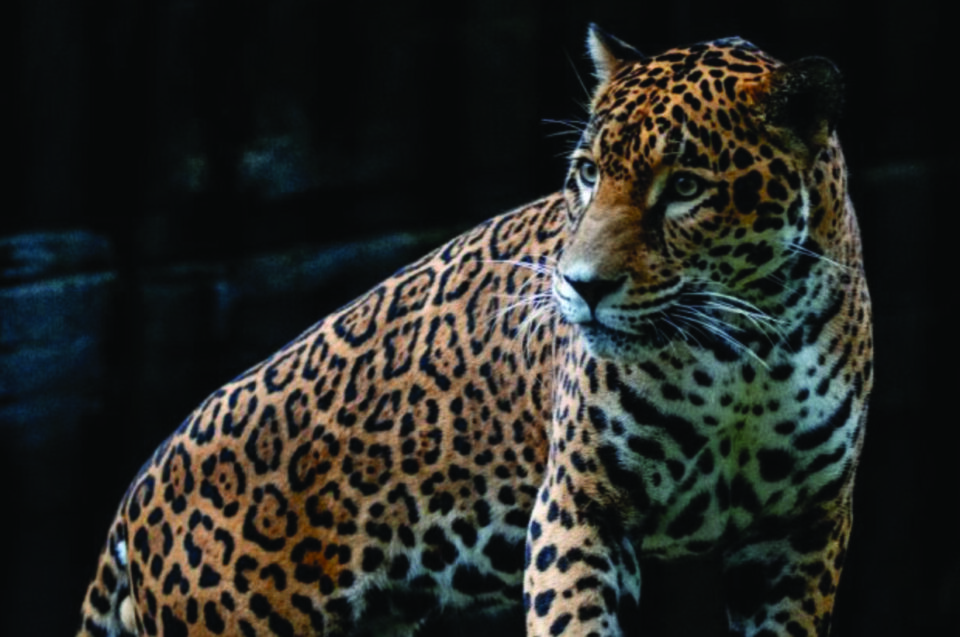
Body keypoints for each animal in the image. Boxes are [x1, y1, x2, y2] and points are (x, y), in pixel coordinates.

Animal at [78, 25, 872, 637]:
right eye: (588, 173)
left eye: (684, 187)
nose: (580, 286)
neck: (746, 356)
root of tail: (134, 495)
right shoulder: (579, 507)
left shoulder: (802, 531)